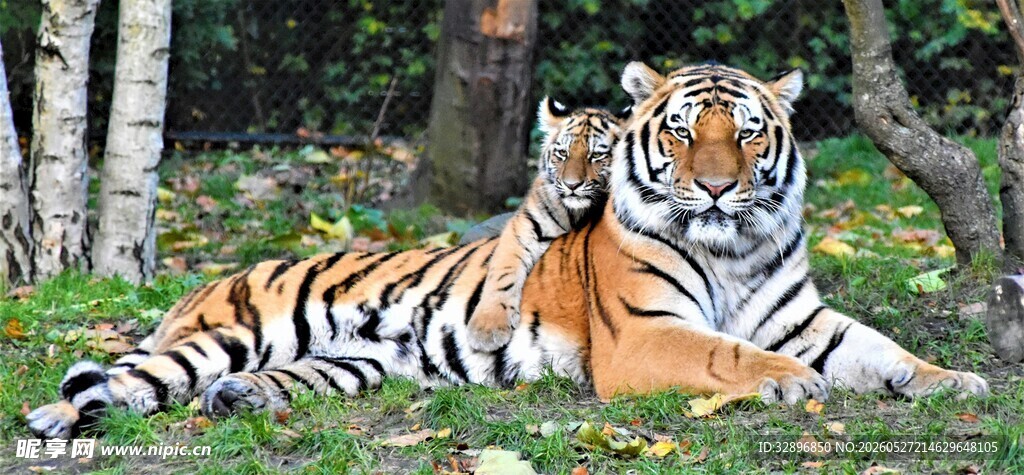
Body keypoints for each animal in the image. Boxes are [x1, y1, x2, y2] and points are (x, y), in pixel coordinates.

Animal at [465, 97, 624, 352]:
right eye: (562, 153)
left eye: (596, 156)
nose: (572, 185)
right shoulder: (524, 226)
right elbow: (502, 272)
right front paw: (487, 329)